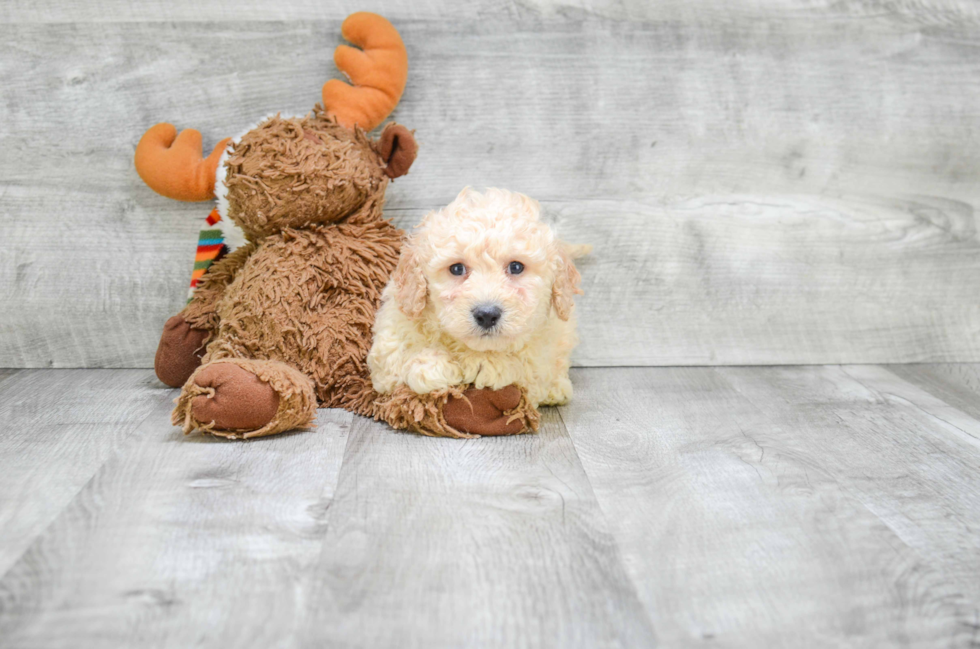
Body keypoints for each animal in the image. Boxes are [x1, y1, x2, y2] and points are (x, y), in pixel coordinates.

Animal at [366, 190, 580, 438]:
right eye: (457, 269)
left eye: (516, 267)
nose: (487, 315)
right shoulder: (391, 335)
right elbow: (401, 355)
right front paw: (433, 368)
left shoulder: (538, 353)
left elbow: (515, 364)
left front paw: (483, 365)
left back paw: (558, 388)